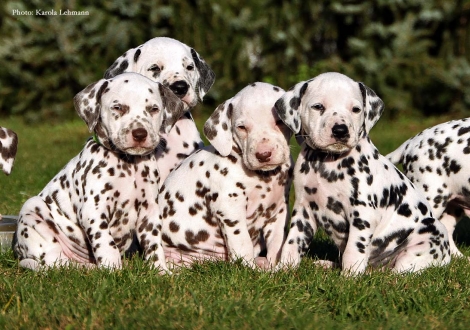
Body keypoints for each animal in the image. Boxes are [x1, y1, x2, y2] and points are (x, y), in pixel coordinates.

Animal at [14, 73, 185, 270]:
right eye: (118, 107)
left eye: (153, 109)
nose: (140, 134)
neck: (129, 164)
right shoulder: (94, 210)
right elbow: (106, 244)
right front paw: (113, 270)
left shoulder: (149, 211)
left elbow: (153, 244)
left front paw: (160, 270)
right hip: (32, 210)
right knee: (54, 260)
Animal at [160, 82, 292, 268]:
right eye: (242, 127)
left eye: (279, 121)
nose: (263, 154)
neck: (265, 177)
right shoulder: (229, 208)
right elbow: (243, 243)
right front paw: (250, 270)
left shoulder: (278, 210)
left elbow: (277, 242)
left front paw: (278, 268)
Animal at [276, 73, 452, 276]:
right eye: (318, 106)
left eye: (355, 109)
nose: (340, 130)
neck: (328, 164)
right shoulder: (303, 209)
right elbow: (292, 243)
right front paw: (283, 269)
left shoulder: (362, 213)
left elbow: (353, 250)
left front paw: (349, 277)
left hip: (429, 233)